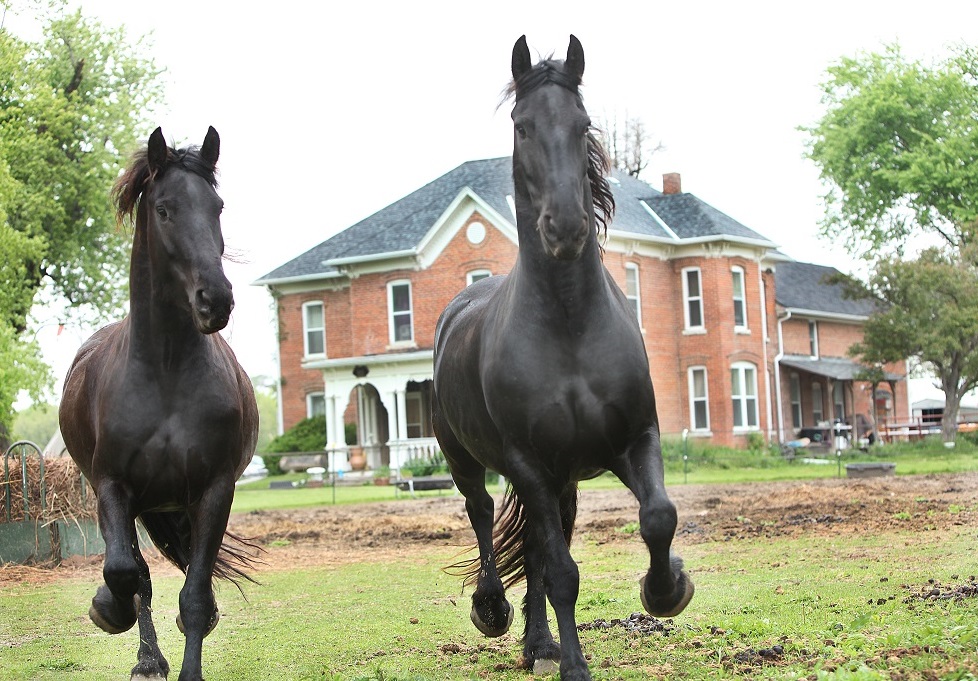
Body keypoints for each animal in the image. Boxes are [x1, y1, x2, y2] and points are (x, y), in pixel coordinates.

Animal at [59, 127, 260, 680]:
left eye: (216, 206)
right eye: (165, 209)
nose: (215, 299)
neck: (166, 374)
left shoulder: (213, 491)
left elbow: (194, 594)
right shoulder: (113, 486)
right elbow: (125, 571)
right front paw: (108, 610)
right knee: (138, 573)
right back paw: (146, 657)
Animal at [430, 37, 692, 680]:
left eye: (582, 124)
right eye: (522, 126)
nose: (567, 226)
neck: (570, 327)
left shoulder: (634, 439)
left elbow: (658, 517)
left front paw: (666, 588)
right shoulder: (527, 464)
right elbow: (562, 571)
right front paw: (574, 665)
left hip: (564, 479)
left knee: (537, 551)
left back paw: (538, 643)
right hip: (470, 461)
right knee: (484, 519)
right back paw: (494, 611)